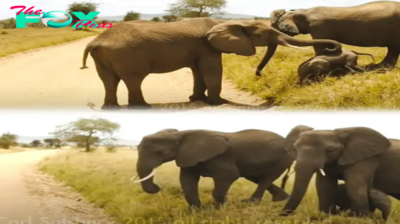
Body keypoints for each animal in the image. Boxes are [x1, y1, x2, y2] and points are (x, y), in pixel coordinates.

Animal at [80, 17, 340, 109]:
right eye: (263, 35)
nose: (259, 76)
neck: (226, 23)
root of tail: (95, 41)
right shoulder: (207, 47)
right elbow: (213, 70)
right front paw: (218, 102)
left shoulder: (200, 49)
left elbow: (198, 71)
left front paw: (197, 99)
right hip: (129, 56)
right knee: (133, 79)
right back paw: (141, 107)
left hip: (105, 57)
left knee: (109, 80)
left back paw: (111, 108)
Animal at [131, 129, 294, 207]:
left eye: (159, 152)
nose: (156, 188)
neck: (179, 134)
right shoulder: (188, 156)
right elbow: (187, 180)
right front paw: (196, 211)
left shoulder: (221, 156)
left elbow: (229, 175)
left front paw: (218, 208)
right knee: (257, 177)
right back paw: (280, 199)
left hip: (281, 159)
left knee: (265, 179)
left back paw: (250, 203)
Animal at [256, 0, 400, 76]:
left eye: (276, 29)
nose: (259, 75)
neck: (302, 11)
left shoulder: (319, 28)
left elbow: (320, 48)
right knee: (392, 49)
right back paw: (379, 67)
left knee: (393, 48)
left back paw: (381, 68)